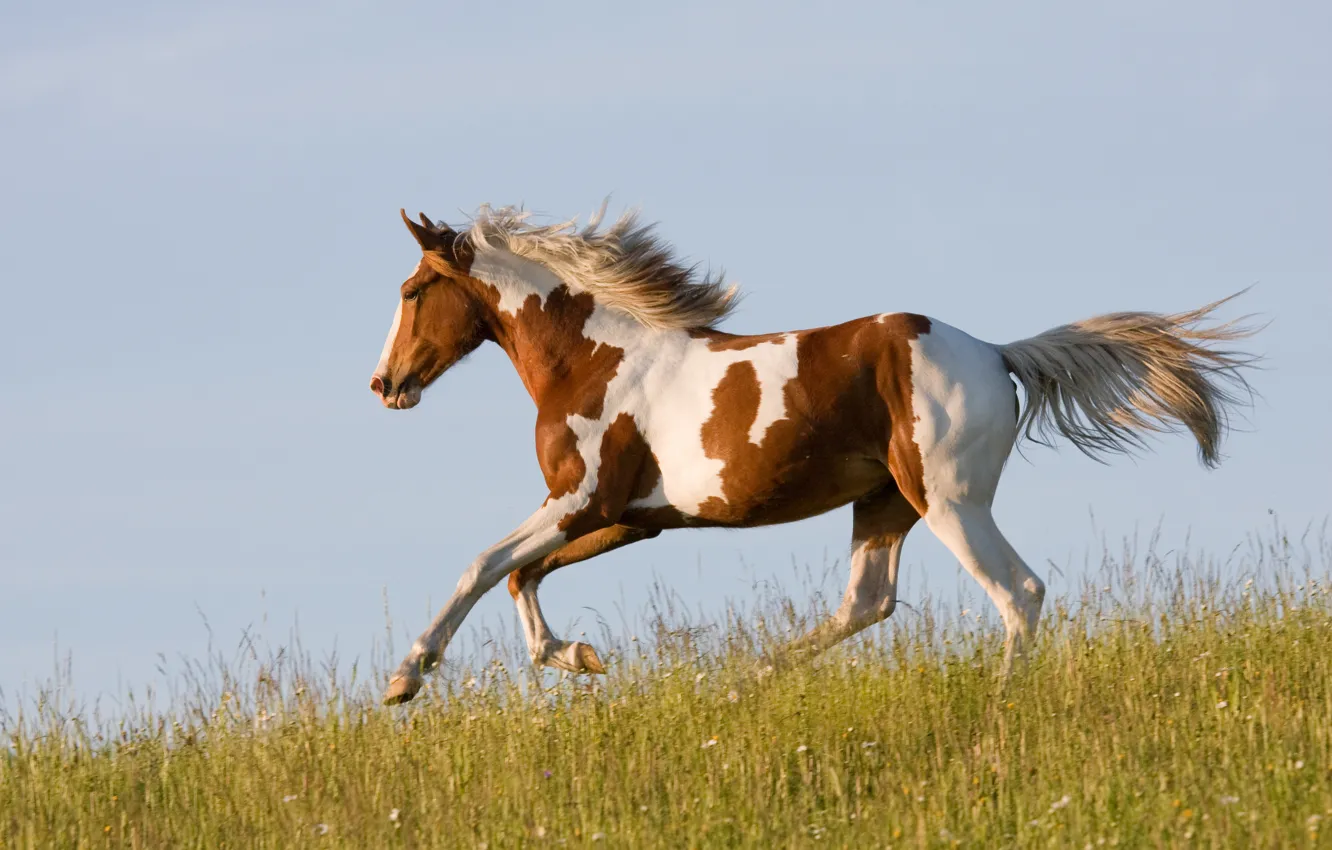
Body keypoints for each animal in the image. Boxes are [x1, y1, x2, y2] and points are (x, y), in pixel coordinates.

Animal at [367, 201, 1257, 703]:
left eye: (411, 291)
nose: (384, 383)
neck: (597, 359)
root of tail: (998, 354)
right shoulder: (630, 517)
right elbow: (523, 574)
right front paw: (581, 657)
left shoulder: (581, 499)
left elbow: (483, 565)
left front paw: (406, 678)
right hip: (884, 502)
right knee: (866, 603)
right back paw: (740, 684)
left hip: (950, 501)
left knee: (1020, 592)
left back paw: (1003, 706)